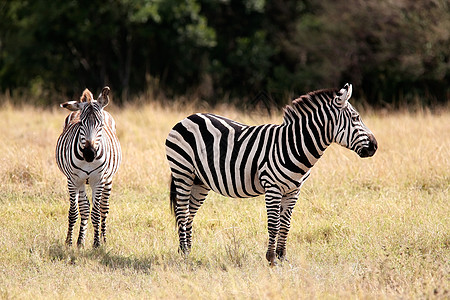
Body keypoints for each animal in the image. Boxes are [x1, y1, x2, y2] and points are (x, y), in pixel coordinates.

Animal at [55, 86, 122, 248]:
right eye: (80, 124)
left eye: (101, 125)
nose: (89, 154)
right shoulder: (73, 180)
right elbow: (74, 212)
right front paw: (69, 241)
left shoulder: (98, 181)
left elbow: (96, 213)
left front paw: (97, 243)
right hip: (80, 182)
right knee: (84, 208)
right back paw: (80, 241)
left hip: (108, 180)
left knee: (103, 208)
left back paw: (103, 239)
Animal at [165, 83, 376, 264]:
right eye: (356, 118)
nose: (375, 146)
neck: (294, 145)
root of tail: (188, 117)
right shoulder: (272, 187)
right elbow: (274, 224)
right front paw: (271, 258)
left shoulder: (294, 190)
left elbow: (286, 224)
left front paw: (282, 257)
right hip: (183, 172)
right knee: (182, 212)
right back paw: (184, 254)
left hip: (200, 181)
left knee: (189, 214)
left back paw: (187, 250)